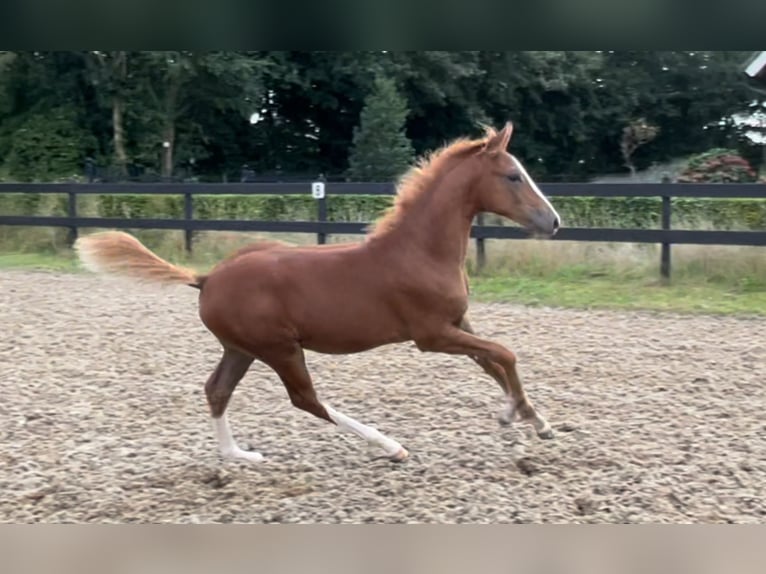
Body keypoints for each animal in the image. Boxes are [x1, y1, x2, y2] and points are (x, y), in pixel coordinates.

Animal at [76, 124, 560, 466]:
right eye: (513, 176)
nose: (553, 222)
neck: (421, 251)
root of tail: (207, 278)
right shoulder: (432, 335)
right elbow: (506, 354)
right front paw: (513, 415)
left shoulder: (459, 323)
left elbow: (493, 362)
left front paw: (536, 421)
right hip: (279, 348)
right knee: (305, 399)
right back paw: (390, 445)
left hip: (242, 348)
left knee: (217, 390)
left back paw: (238, 455)